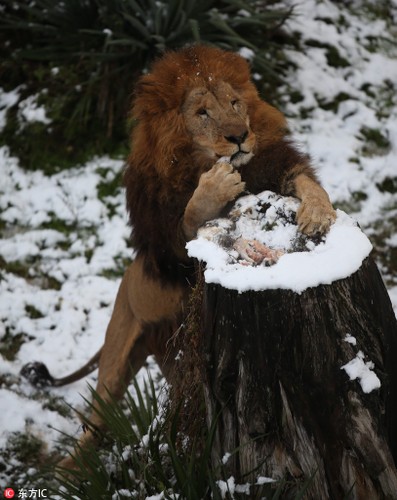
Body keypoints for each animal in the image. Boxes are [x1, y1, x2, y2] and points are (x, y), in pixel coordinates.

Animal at [20, 43, 334, 464]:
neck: (198, 162)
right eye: (202, 112)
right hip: (118, 361)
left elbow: (303, 180)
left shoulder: (272, 167)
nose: (239, 136)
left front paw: (318, 212)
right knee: (91, 430)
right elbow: (190, 220)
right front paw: (215, 191)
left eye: (235, 103)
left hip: (175, 354)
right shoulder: (167, 247)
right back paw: (69, 470)